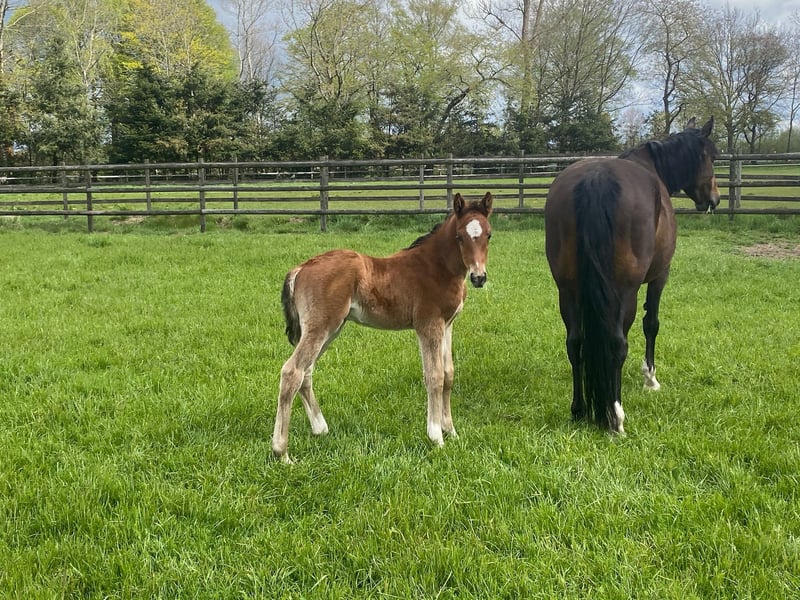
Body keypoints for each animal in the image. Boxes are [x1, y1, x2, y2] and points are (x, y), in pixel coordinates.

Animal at [272, 192, 494, 462]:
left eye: (489, 235)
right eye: (460, 236)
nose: (478, 277)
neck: (437, 267)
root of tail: (301, 267)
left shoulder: (447, 325)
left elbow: (449, 374)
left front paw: (451, 431)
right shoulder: (428, 325)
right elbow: (435, 376)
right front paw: (436, 438)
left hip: (330, 329)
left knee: (307, 371)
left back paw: (320, 428)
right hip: (321, 327)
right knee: (292, 371)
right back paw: (282, 453)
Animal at [544, 117, 720, 434]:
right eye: (713, 157)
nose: (715, 199)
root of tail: (596, 179)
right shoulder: (660, 276)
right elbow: (652, 324)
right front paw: (650, 378)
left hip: (567, 289)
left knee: (574, 342)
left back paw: (578, 410)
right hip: (625, 291)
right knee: (617, 343)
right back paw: (616, 417)